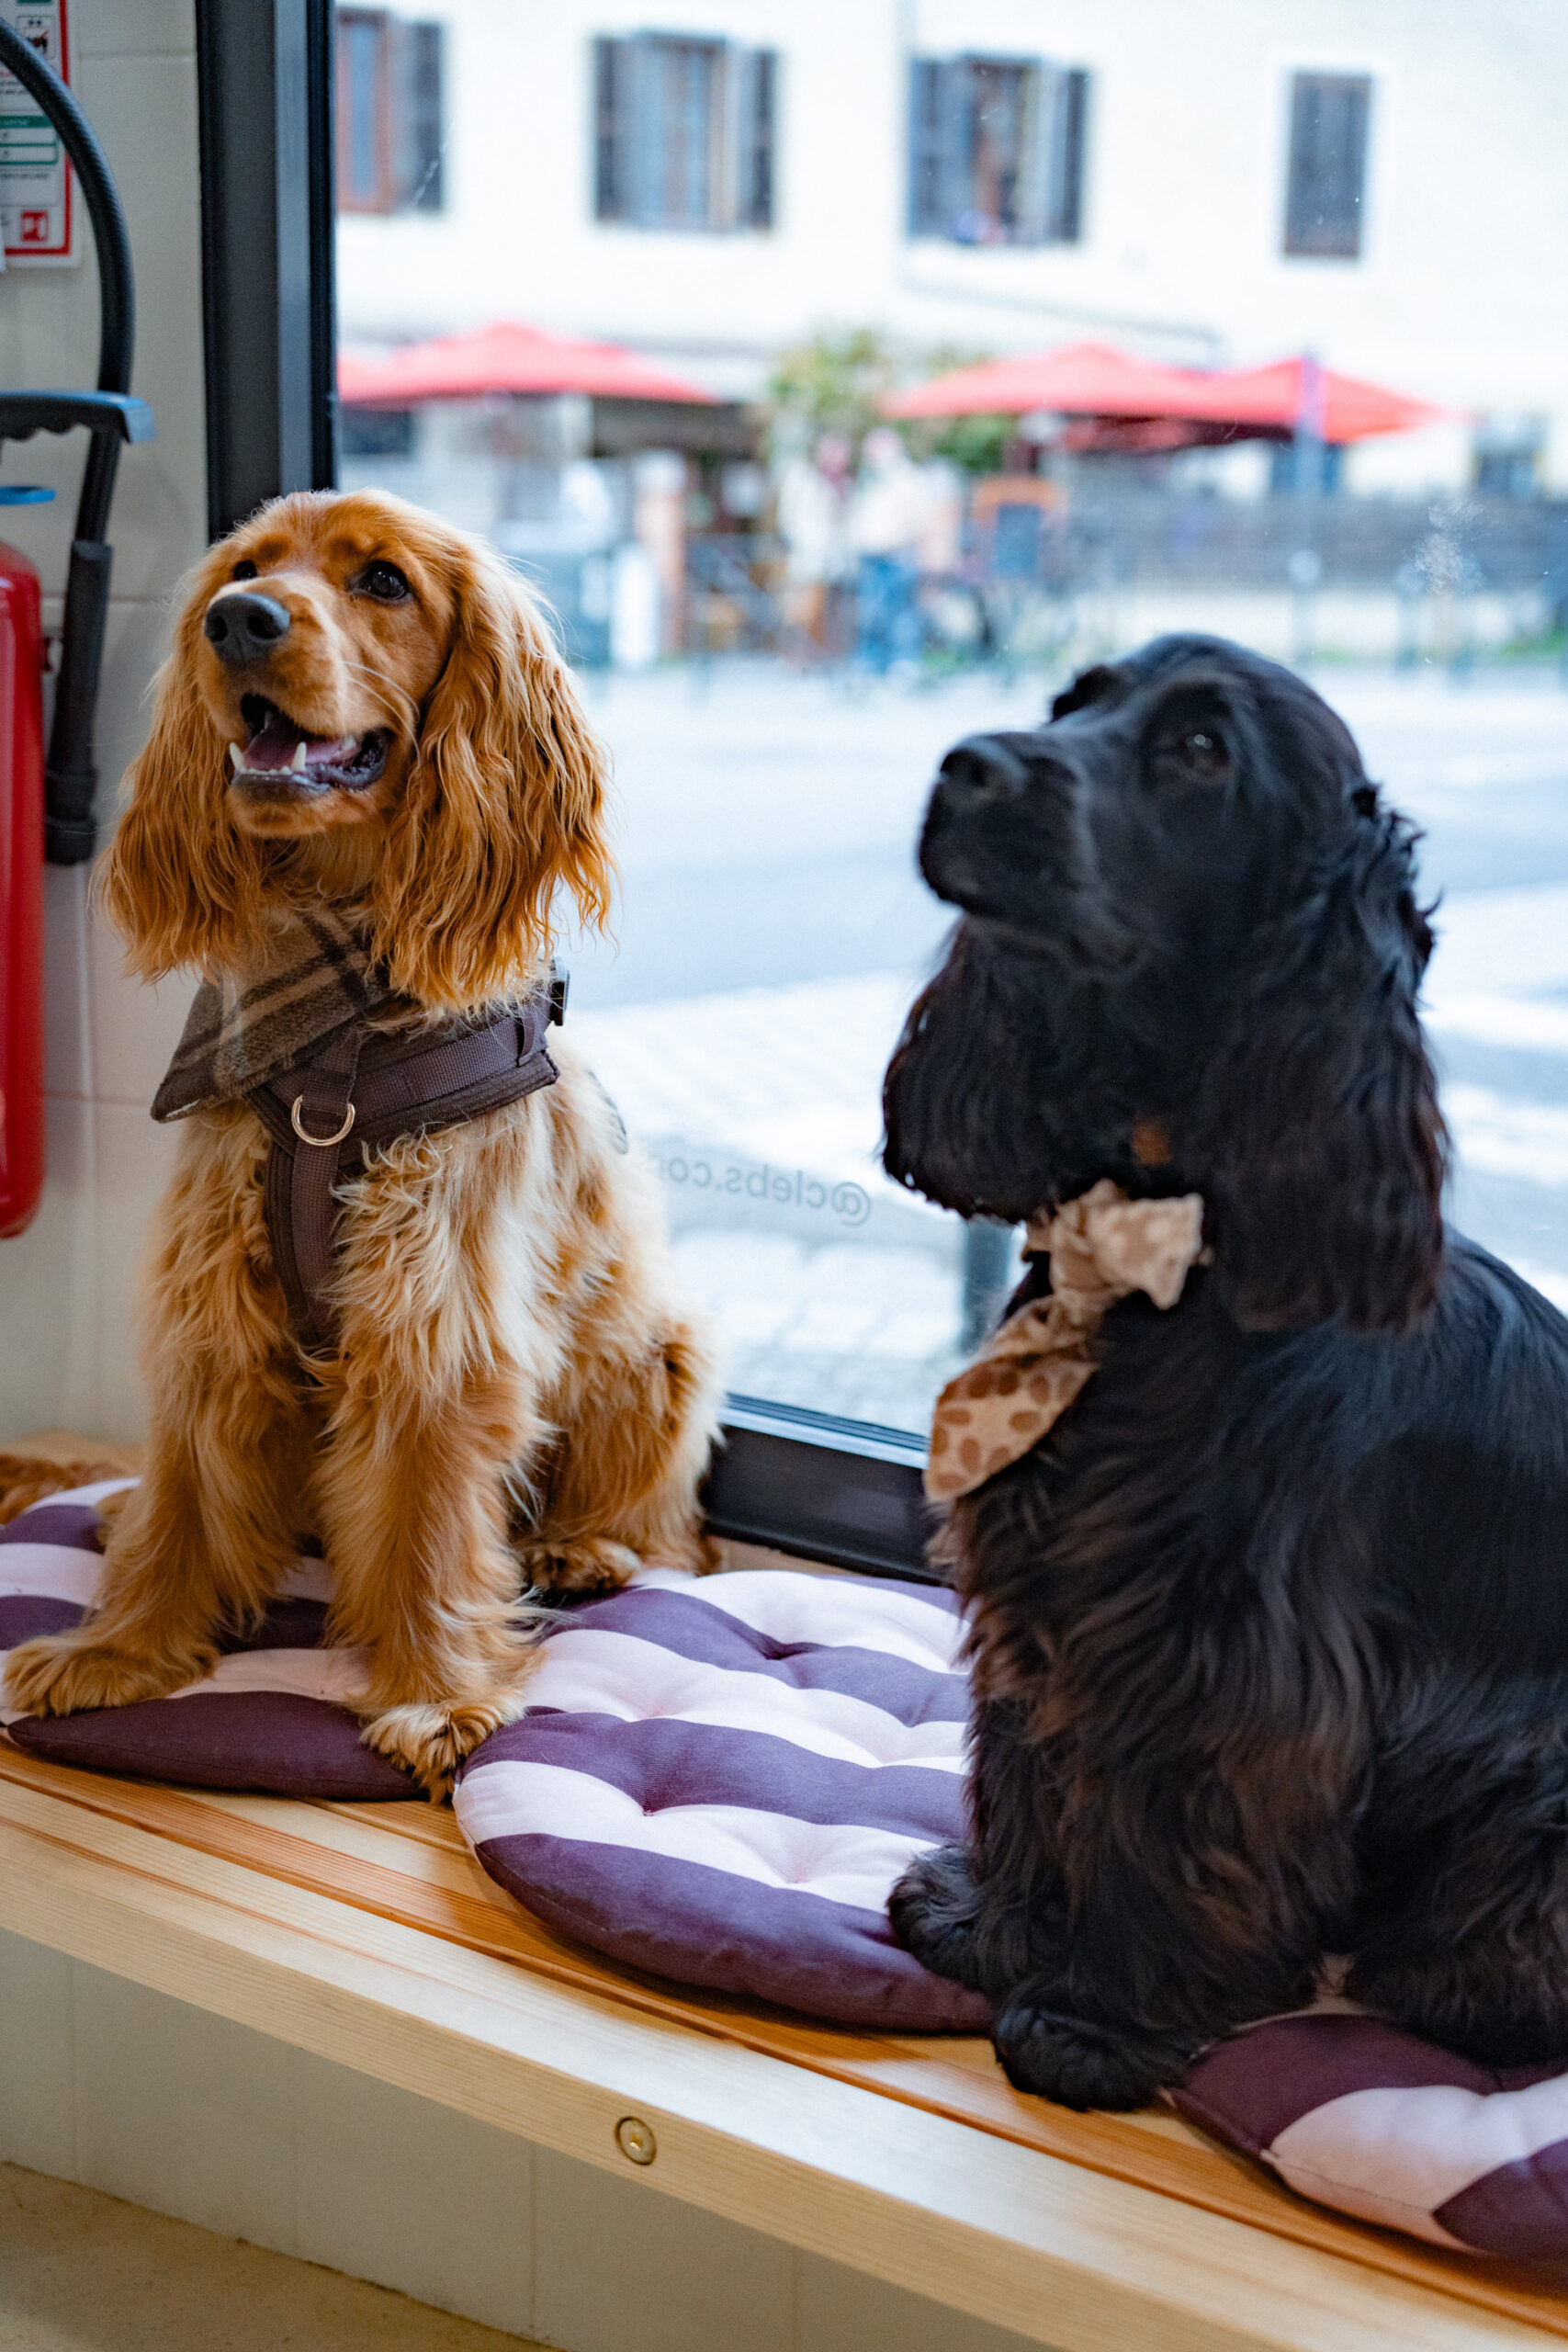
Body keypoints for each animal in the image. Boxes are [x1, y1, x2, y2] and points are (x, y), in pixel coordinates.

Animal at [3, 489, 719, 1796]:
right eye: (244, 567)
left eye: (384, 580)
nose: (240, 621)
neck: (329, 1038)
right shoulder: (210, 1301)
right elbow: (185, 1496)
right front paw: (123, 1646)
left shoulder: (437, 1317)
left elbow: (432, 1525)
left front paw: (438, 1696)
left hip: (664, 1349)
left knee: (680, 1537)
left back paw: (590, 1548)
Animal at [882, 634, 1568, 2110]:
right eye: (1071, 701)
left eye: (1201, 751)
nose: (963, 764)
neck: (1155, 1250)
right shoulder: (1055, 1589)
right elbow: (1036, 1760)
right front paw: (995, 1925)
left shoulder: (1231, 1646)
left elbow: (1179, 1812)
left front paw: (1098, 2019)